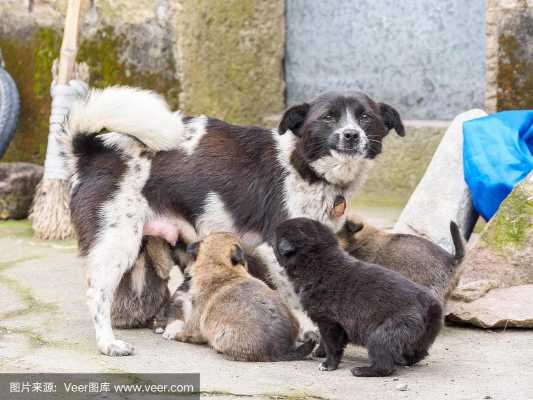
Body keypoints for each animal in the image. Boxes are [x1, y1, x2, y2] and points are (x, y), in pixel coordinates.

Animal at [165, 231, 316, 362]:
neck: (221, 267)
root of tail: (282, 350)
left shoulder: (197, 311)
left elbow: (190, 330)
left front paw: (175, 334)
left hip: (223, 334)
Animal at [272, 217, 442, 376]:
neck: (316, 264)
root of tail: (429, 304)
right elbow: (325, 341)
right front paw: (320, 352)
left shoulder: (329, 321)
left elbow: (332, 345)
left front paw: (328, 364)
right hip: (422, 336)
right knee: (419, 352)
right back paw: (402, 360)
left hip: (382, 334)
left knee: (385, 364)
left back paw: (362, 370)